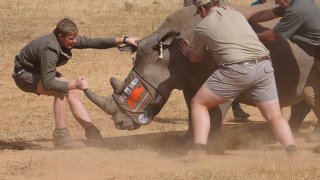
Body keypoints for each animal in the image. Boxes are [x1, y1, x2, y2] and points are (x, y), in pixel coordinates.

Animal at [84, 3, 318, 139]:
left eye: (132, 92)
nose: (120, 125)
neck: (167, 53)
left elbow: (215, 110)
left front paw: (212, 141)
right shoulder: (189, 79)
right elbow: (191, 107)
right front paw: (187, 139)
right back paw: (288, 134)